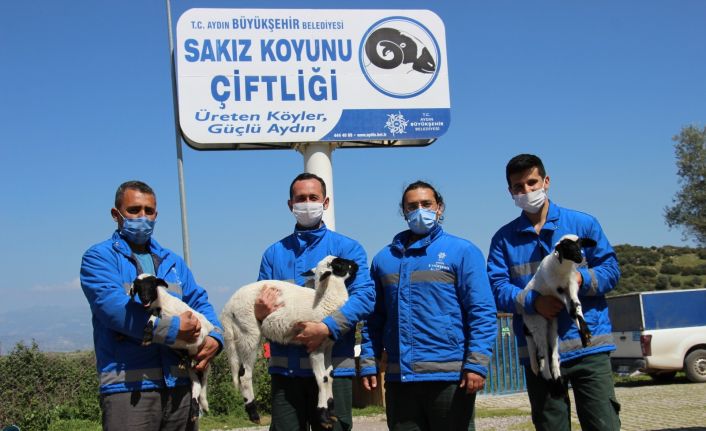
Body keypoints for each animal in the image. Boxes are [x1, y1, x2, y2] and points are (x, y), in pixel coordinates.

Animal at [129, 273, 214, 422]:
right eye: (138, 287)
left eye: (152, 285)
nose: (144, 298)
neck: (161, 301)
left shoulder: (167, 314)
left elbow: (153, 317)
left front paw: (147, 336)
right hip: (192, 373)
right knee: (196, 388)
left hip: (199, 354)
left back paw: (189, 360)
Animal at [220, 255, 358, 429]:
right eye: (339, 264)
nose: (356, 265)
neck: (325, 299)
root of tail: (227, 309)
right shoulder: (315, 345)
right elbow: (322, 378)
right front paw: (323, 415)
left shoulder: (327, 346)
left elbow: (330, 376)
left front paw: (331, 412)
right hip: (248, 332)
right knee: (244, 375)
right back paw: (253, 413)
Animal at [521, 234, 596, 393]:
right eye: (567, 247)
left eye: (580, 245)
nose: (580, 258)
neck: (563, 270)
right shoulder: (557, 291)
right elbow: (571, 310)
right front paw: (585, 335)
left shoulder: (572, 286)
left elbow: (576, 308)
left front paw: (585, 335)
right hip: (538, 323)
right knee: (541, 353)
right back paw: (549, 378)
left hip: (552, 325)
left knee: (552, 352)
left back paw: (556, 374)